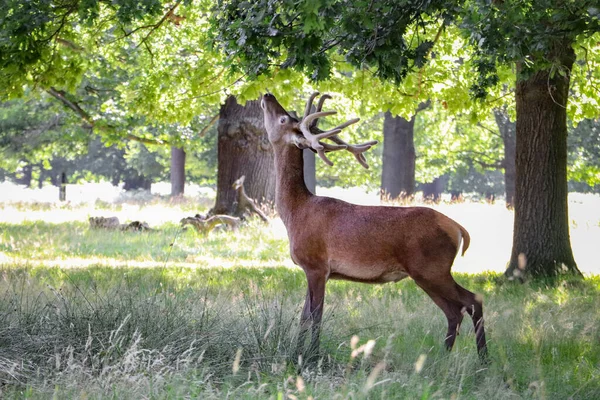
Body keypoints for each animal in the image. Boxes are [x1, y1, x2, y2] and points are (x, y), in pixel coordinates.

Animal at [262, 93, 488, 362]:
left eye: (284, 119)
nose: (267, 95)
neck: (295, 213)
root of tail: (459, 229)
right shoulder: (312, 269)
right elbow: (304, 316)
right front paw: (297, 353)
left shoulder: (316, 264)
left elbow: (315, 316)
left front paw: (312, 357)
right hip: (428, 273)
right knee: (454, 311)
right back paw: (443, 358)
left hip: (432, 268)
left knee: (471, 301)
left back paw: (483, 359)